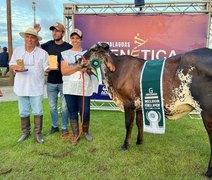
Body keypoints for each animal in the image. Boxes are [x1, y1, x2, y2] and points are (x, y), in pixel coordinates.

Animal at [84, 42, 212, 177]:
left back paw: (208, 172)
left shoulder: (128, 103)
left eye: (93, 49)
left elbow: (128, 124)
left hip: (207, 112)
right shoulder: (140, 105)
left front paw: (125, 145)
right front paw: (139, 141)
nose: (78, 59)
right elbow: (139, 123)